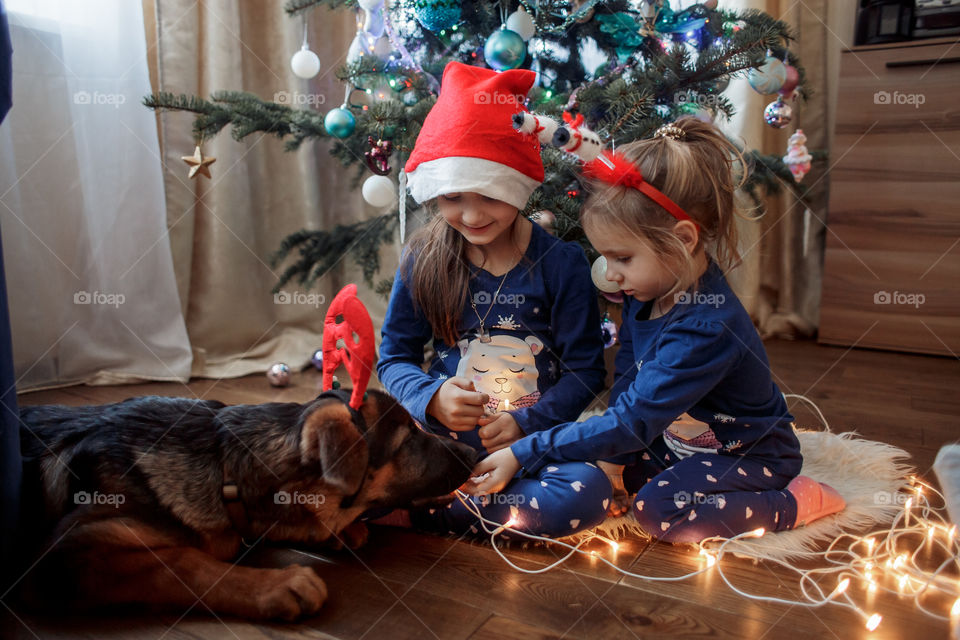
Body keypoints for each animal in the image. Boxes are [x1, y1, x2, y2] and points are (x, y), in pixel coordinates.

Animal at [13, 390, 478, 620]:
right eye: (409, 437)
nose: (475, 454)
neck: (224, 469)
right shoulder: (62, 558)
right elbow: (180, 561)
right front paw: (272, 586)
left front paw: (343, 530)